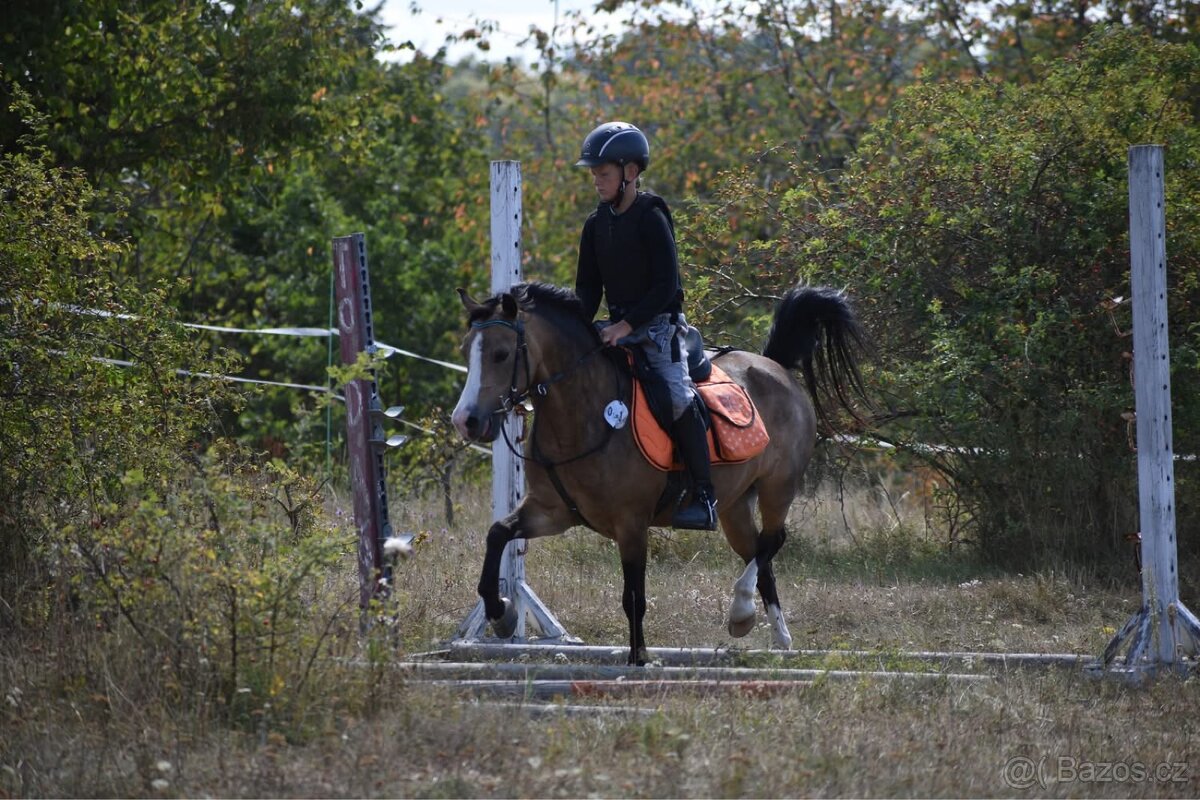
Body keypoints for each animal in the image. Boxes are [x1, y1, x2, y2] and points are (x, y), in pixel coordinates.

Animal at [451, 281, 868, 665]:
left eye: (502, 354)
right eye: (466, 352)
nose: (466, 421)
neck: (583, 415)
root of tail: (776, 366)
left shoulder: (631, 523)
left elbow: (633, 596)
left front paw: (638, 658)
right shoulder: (551, 512)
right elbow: (497, 534)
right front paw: (501, 613)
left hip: (777, 486)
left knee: (773, 541)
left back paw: (742, 611)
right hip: (733, 507)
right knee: (758, 553)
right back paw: (776, 637)